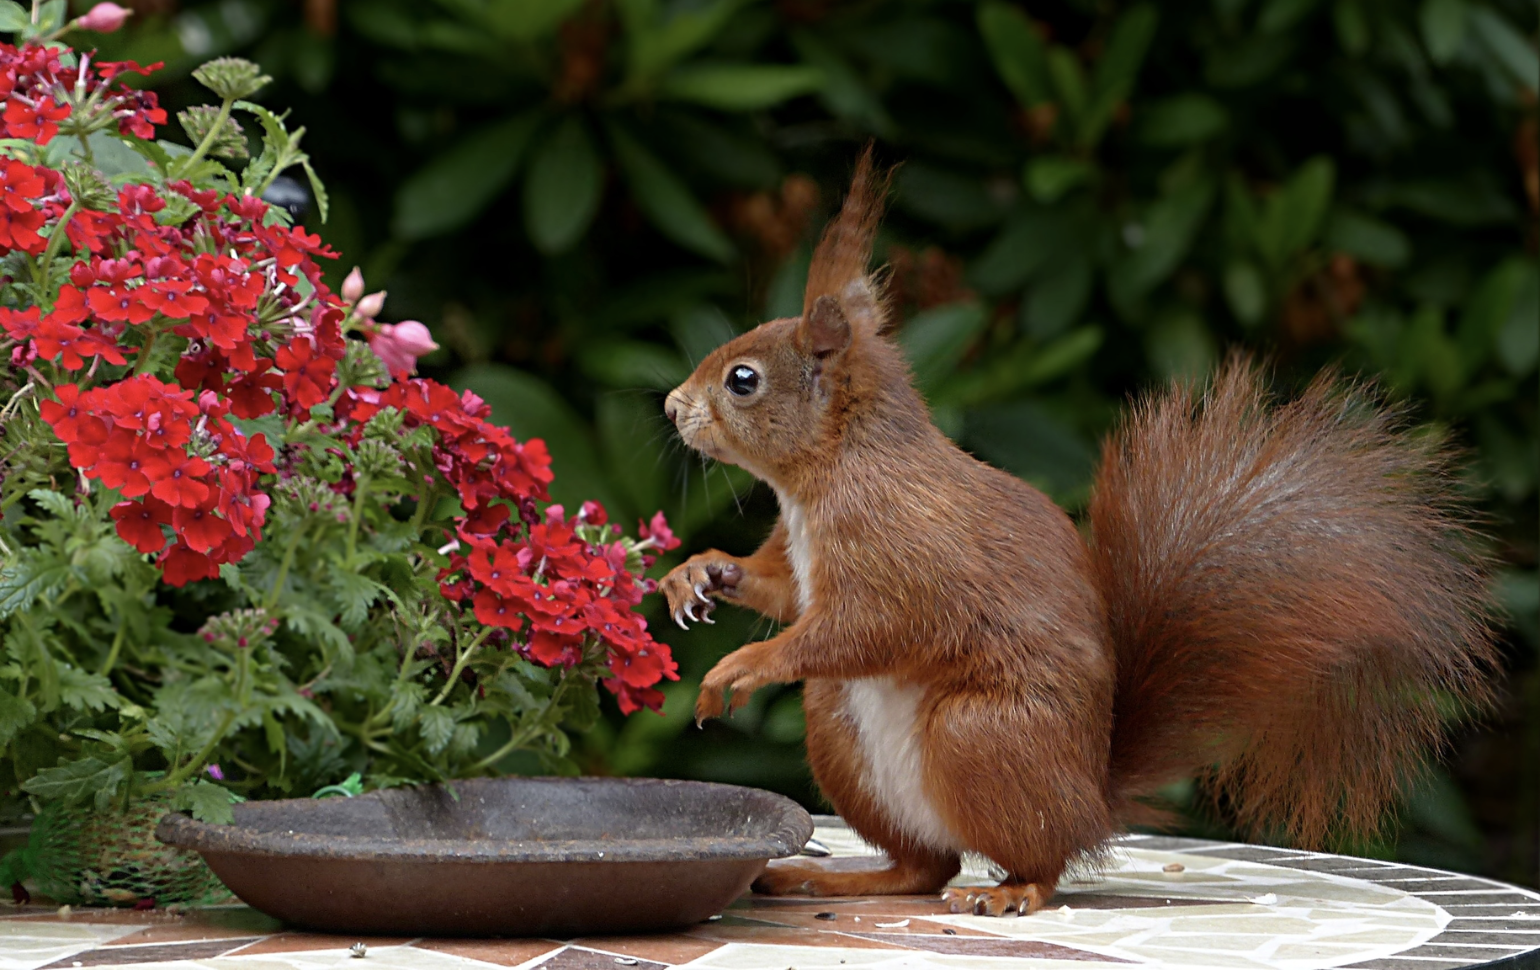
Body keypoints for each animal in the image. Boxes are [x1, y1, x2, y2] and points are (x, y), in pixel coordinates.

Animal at [659, 154, 1490, 918]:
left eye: (742, 380)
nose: (670, 406)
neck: (827, 475)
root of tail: (1092, 799)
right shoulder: (801, 557)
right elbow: (782, 591)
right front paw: (699, 574)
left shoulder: (900, 548)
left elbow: (867, 625)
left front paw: (743, 665)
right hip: (839, 729)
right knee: (924, 866)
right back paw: (831, 877)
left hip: (979, 735)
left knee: (1035, 859)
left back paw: (1009, 890)